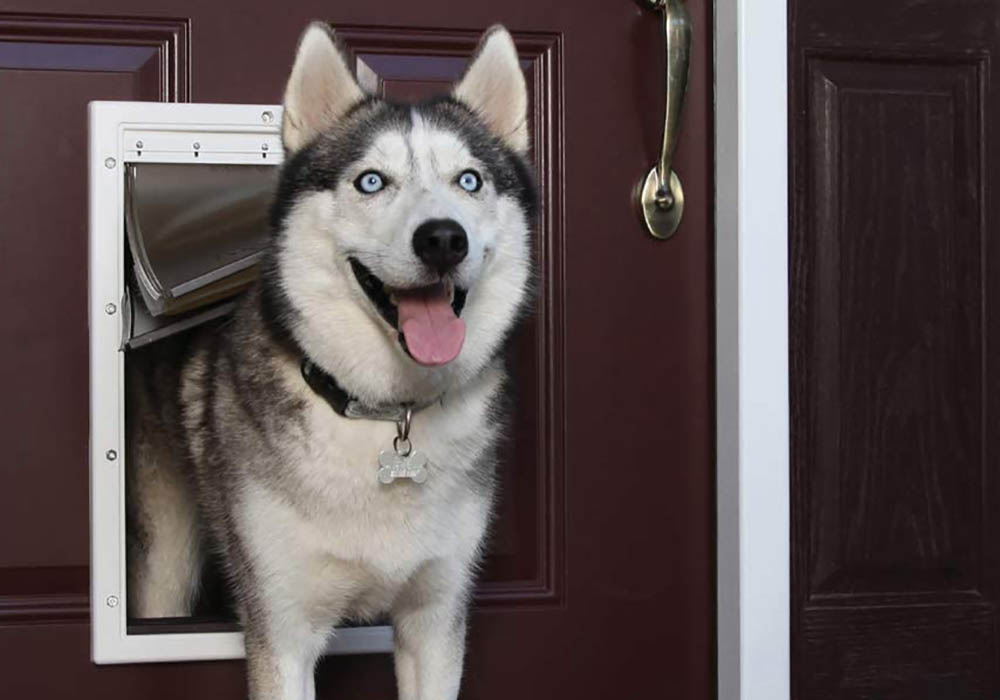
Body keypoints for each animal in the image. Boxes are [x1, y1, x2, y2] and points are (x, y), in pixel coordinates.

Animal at [128, 21, 536, 700]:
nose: (443, 238)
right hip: (167, 560)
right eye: (371, 181)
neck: (384, 414)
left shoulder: (435, 620)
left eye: (469, 180)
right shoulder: (283, 629)